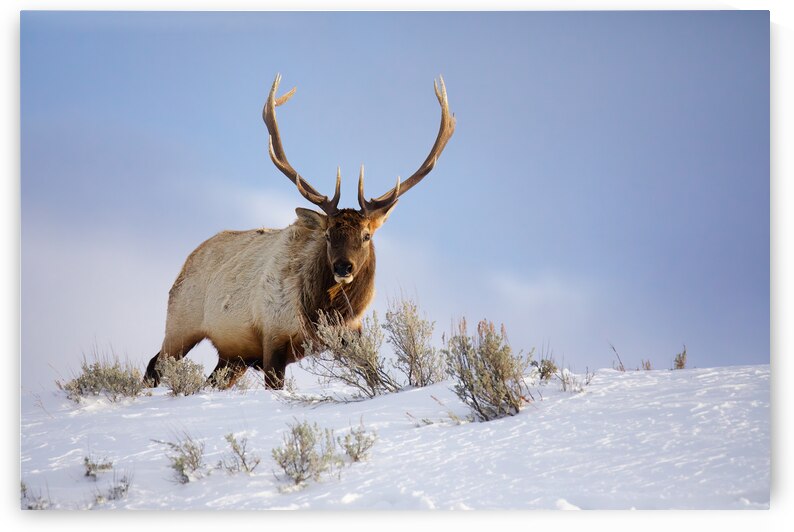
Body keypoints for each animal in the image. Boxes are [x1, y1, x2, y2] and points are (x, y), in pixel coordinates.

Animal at [143, 74, 455, 389]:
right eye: (328, 236)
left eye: (366, 236)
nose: (343, 267)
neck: (319, 312)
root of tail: (187, 262)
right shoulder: (273, 338)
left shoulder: (353, 334)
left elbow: (373, 377)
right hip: (180, 324)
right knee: (153, 365)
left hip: (233, 356)